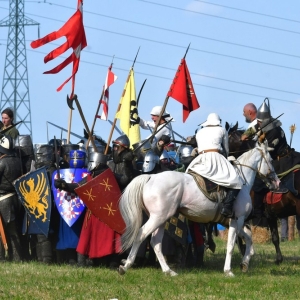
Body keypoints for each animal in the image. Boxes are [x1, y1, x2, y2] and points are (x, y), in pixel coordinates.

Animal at [117, 142, 278, 276]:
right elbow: (231, 244)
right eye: (270, 160)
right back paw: (126, 265)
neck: (242, 183)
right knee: (141, 234)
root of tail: (151, 178)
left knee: (156, 242)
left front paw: (245, 263)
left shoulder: (235, 222)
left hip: (161, 219)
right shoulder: (237, 220)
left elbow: (249, 239)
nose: (276, 182)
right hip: (158, 217)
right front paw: (228, 271)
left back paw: (168, 271)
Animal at [227, 121, 300, 262]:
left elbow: (239, 237)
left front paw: (245, 254)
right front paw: (278, 259)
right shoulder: (270, 216)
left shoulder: (242, 216)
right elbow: (275, 238)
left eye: (227, 139)